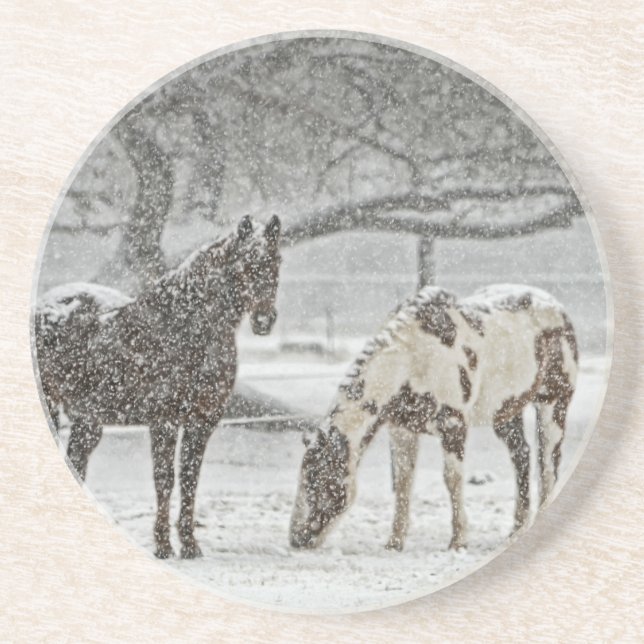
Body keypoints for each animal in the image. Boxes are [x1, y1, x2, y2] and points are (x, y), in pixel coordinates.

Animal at [34, 214, 281, 559]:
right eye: (245, 262)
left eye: (277, 260)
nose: (263, 320)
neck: (187, 327)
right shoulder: (164, 421)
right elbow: (165, 479)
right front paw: (163, 545)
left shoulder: (202, 422)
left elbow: (190, 478)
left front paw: (190, 545)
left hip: (88, 421)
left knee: (78, 463)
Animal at [290, 284, 578, 552]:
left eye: (320, 481)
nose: (296, 539)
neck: (412, 358)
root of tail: (558, 308)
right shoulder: (402, 429)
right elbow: (403, 482)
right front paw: (395, 542)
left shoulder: (453, 426)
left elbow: (452, 479)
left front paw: (458, 541)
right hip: (506, 413)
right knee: (522, 457)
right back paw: (516, 529)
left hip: (553, 404)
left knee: (548, 464)